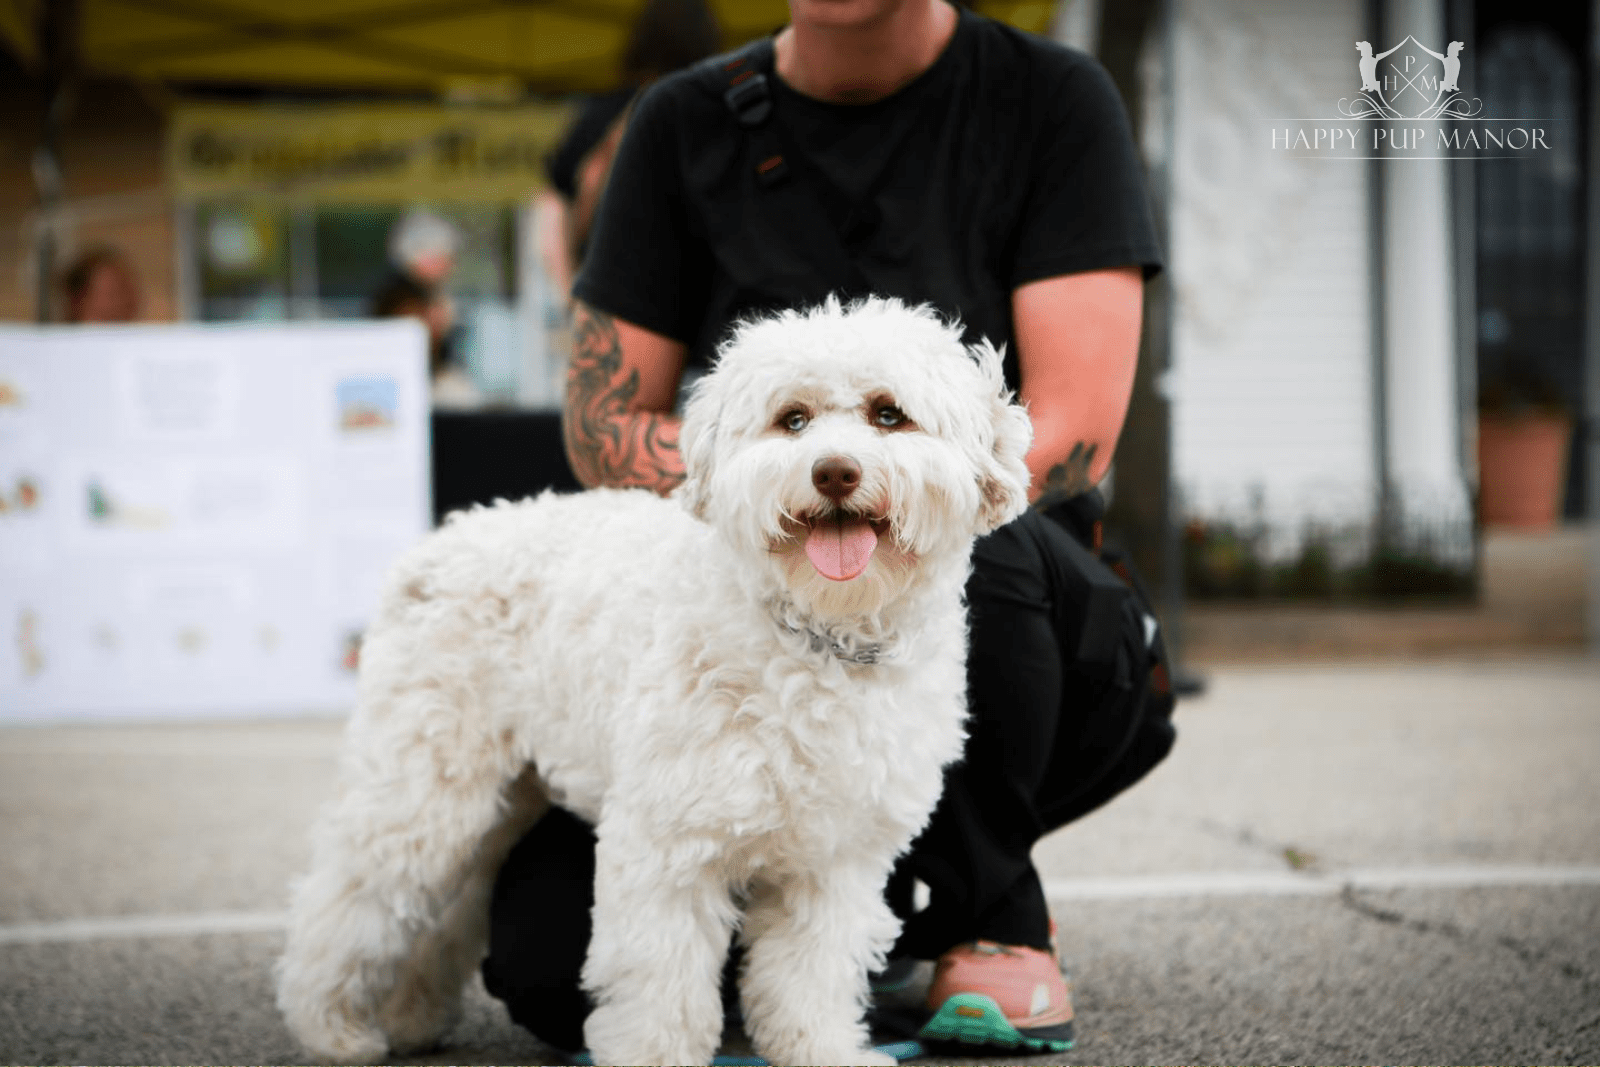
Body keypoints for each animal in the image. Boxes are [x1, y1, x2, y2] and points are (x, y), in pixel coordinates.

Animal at [276, 299, 1030, 1067]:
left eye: (889, 414)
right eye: (792, 419)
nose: (835, 473)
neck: (814, 637)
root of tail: (437, 544)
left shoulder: (833, 859)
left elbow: (809, 975)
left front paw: (820, 1049)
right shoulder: (668, 844)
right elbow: (661, 981)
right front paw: (657, 1054)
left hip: (503, 799)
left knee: (444, 915)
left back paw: (411, 1016)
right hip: (425, 785)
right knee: (349, 898)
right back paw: (331, 1025)